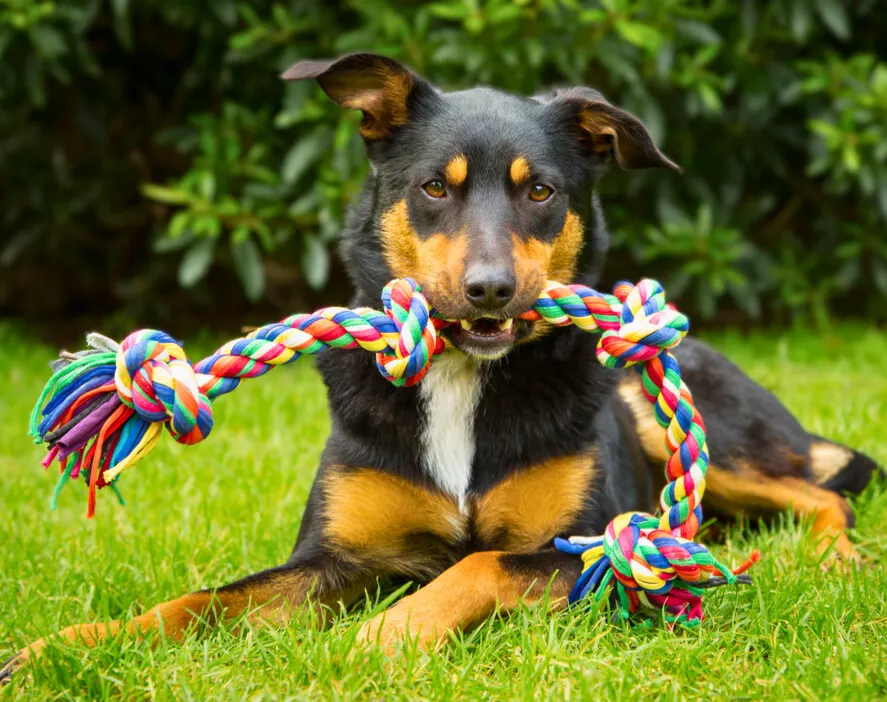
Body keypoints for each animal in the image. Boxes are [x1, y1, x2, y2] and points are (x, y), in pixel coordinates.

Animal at [1, 51, 880, 680]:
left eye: (540, 193)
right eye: (433, 187)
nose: (489, 288)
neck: (462, 375)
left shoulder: (587, 550)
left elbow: (477, 565)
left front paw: (385, 635)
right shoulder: (337, 559)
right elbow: (201, 601)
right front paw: (71, 645)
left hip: (693, 436)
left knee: (818, 493)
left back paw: (836, 560)